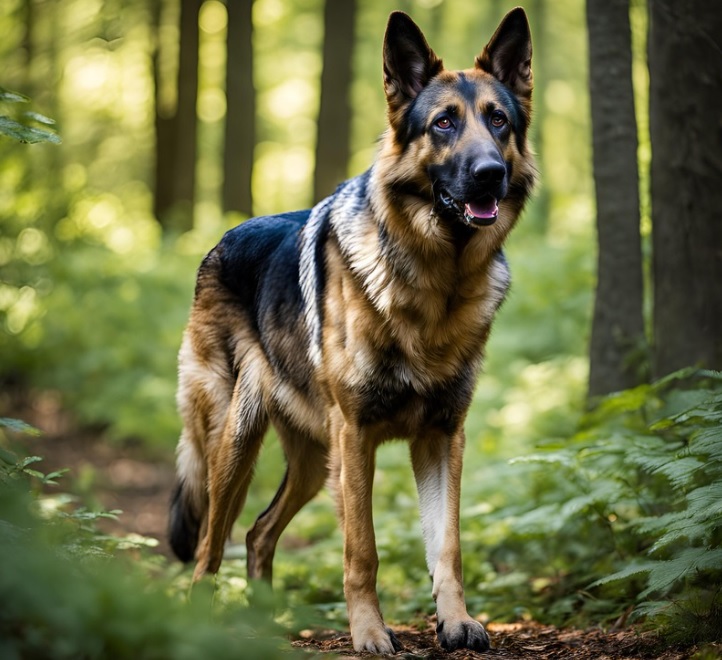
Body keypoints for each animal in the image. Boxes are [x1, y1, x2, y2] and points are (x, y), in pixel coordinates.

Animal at [167, 6, 528, 656]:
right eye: (443, 124)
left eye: (498, 121)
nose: (490, 174)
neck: (435, 283)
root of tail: (222, 239)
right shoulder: (356, 437)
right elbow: (363, 549)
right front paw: (369, 631)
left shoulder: (443, 436)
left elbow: (448, 546)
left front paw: (456, 621)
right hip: (237, 444)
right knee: (210, 543)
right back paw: (202, 620)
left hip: (313, 465)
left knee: (257, 533)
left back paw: (265, 620)